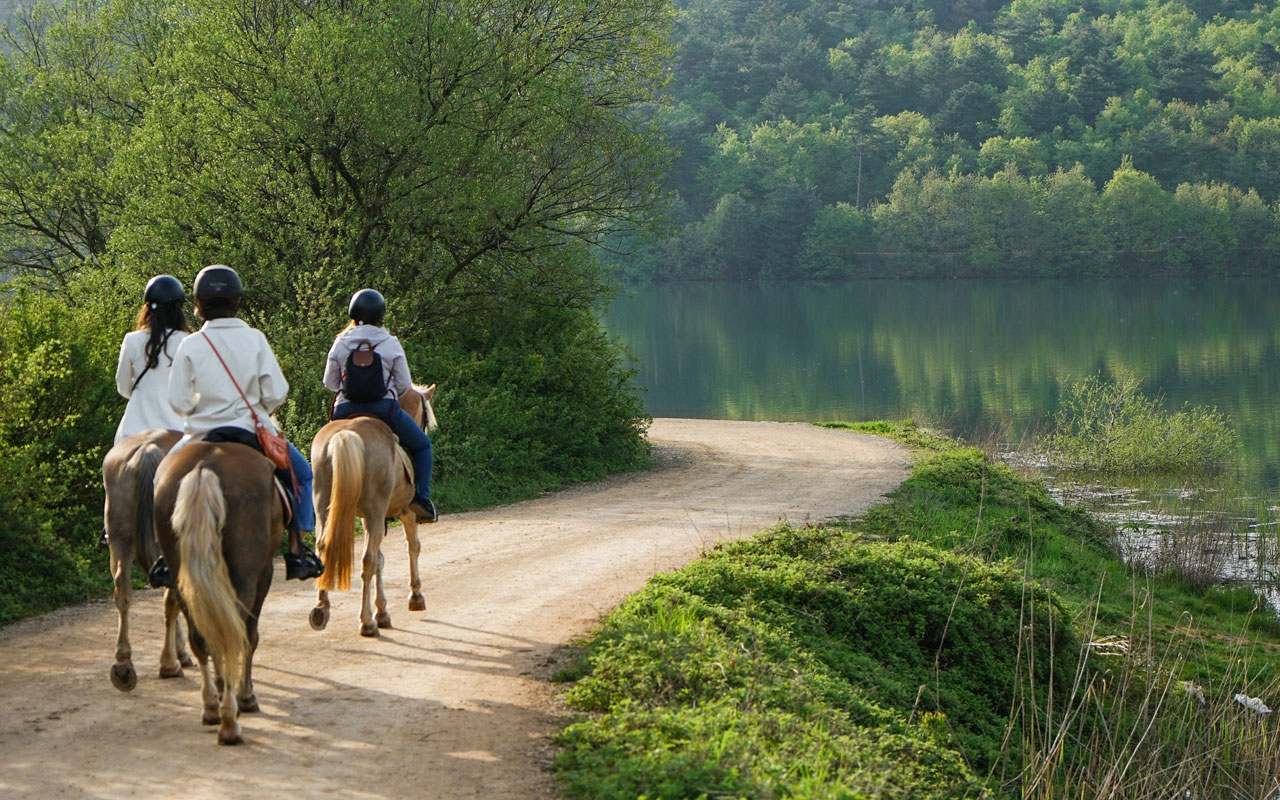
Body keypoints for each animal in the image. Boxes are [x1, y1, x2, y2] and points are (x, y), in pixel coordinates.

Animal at [101, 427, 194, 691]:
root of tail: (148, 448)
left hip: (120, 539)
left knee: (122, 590)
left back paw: (123, 665)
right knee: (171, 598)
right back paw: (169, 664)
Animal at [152, 440, 285, 747]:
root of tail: (203, 469)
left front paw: (223, 685)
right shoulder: (264, 573)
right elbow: (249, 636)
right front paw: (245, 695)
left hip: (181, 573)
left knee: (200, 636)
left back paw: (212, 707)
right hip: (245, 575)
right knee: (235, 634)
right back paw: (230, 722)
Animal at [307, 381, 437, 637]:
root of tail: (346, 435)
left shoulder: (367, 518)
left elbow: (381, 559)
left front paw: (383, 611)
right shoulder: (405, 513)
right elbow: (412, 547)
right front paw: (415, 596)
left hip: (324, 507)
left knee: (323, 547)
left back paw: (321, 608)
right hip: (377, 513)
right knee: (367, 560)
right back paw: (366, 622)